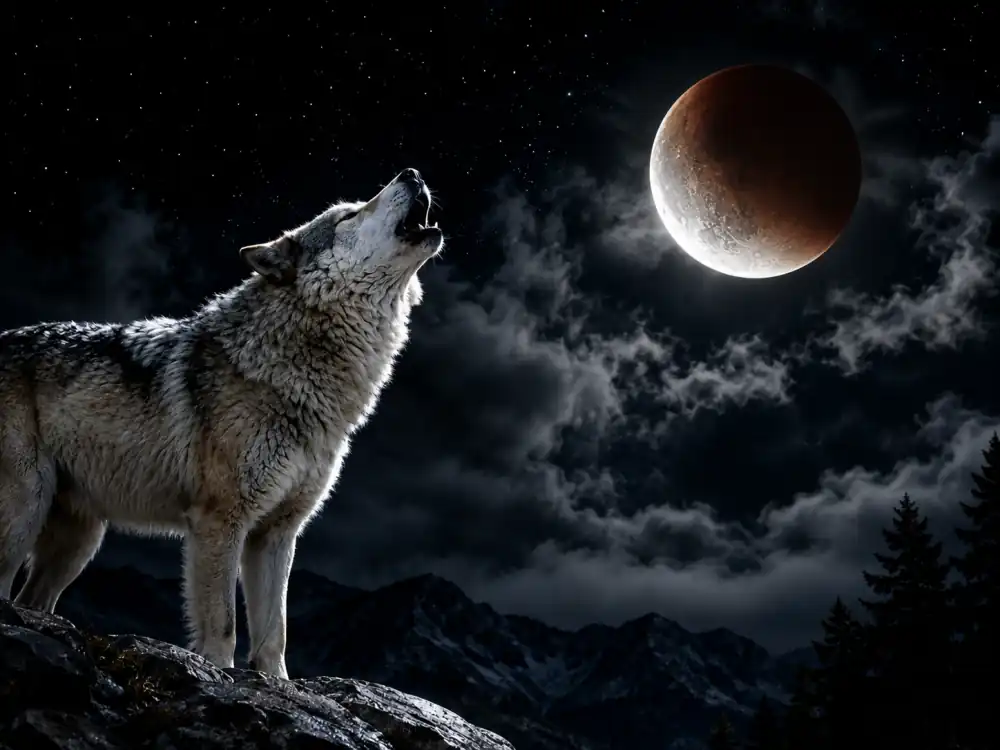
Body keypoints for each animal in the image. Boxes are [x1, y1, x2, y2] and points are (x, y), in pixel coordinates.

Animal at [0, 168, 442, 678]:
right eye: (348, 215)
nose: (412, 172)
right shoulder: (219, 520)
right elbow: (223, 622)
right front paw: (216, 670)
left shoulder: (277, 534)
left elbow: (274, 631)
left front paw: (276, 684)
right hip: (24, 513)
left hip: (78, 541)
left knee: (34, 600)